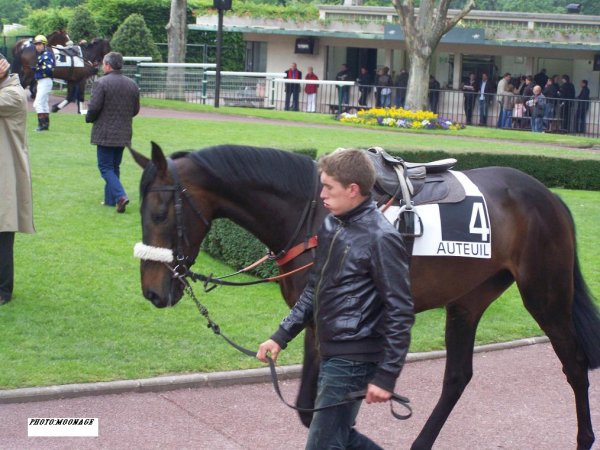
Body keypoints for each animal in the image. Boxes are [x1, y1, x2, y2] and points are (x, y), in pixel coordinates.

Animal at [130, 142, 600, 448]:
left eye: (160, 213)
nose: (153, 291)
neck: (314, 209)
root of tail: (548, 195)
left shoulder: (330, 320)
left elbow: (315, 409)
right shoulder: (316, 317)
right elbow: (309, 409)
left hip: (545, 294)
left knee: (575, 364)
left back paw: (583, 437)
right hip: (468, 299)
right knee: (457, 376)